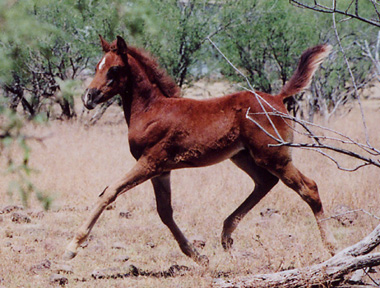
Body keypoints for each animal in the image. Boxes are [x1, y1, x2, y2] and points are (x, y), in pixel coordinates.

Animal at [64, 36, 336, 266]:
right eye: (97, 66)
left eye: (114, 69)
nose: (89, 97)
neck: (152, 109)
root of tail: (278, 98)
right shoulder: (161, 171)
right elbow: (165, 212)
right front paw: (198, 256)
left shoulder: (150, 162)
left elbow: (109, 192)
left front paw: (73, 246)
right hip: (244, 157)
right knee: (264, 183)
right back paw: (226, 235)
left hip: (273, 156)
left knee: (308, 187)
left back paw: (332, 247)